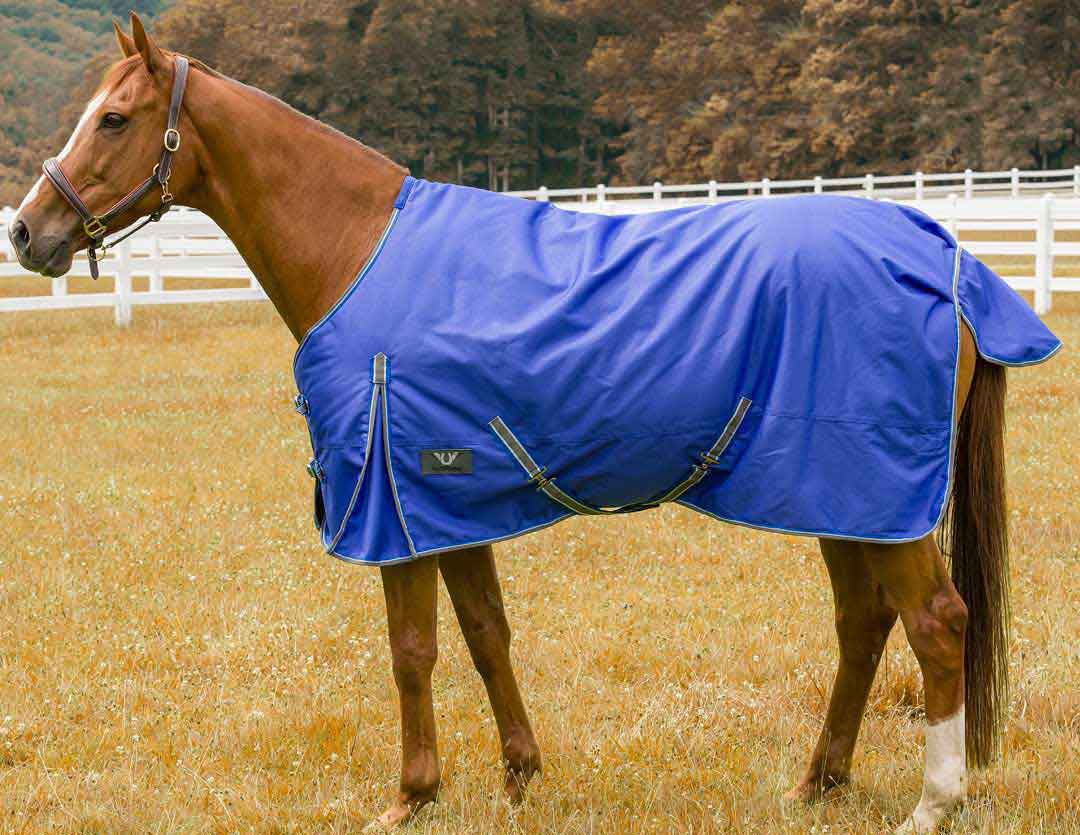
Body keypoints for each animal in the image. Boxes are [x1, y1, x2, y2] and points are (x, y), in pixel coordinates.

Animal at [8, 15, 1061, 833]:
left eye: (114, 118)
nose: (27, 231)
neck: (360, 250)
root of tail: (946, 258)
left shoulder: (392, 503)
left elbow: (413, 651)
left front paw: (412, 794)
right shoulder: (445, 497)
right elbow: (485, 634)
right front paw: (520, 775)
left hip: (874, 498)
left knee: (936, 623)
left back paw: (932, 801)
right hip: (841, 496)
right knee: (864, 623)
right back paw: (817, 782)